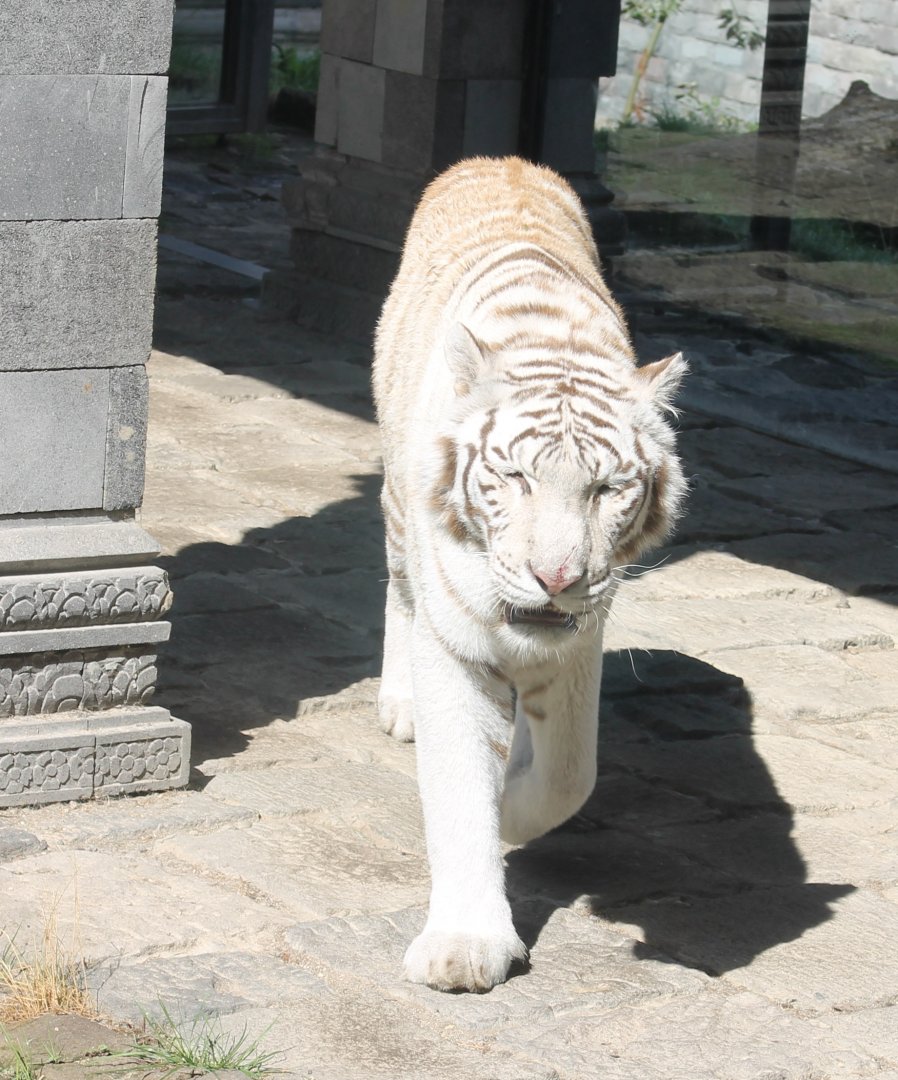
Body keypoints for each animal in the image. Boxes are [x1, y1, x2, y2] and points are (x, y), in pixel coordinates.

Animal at [372, 156, 686, 993]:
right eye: (514, 477)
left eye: (608, 489)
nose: (557, 576)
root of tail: (501, 159)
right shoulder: (455, 646)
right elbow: (457, 792)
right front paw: (465, 945)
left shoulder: (581, 640)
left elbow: (568, 775)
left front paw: (513, 810)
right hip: (396, 513)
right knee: (398, 593)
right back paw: (399, 701)